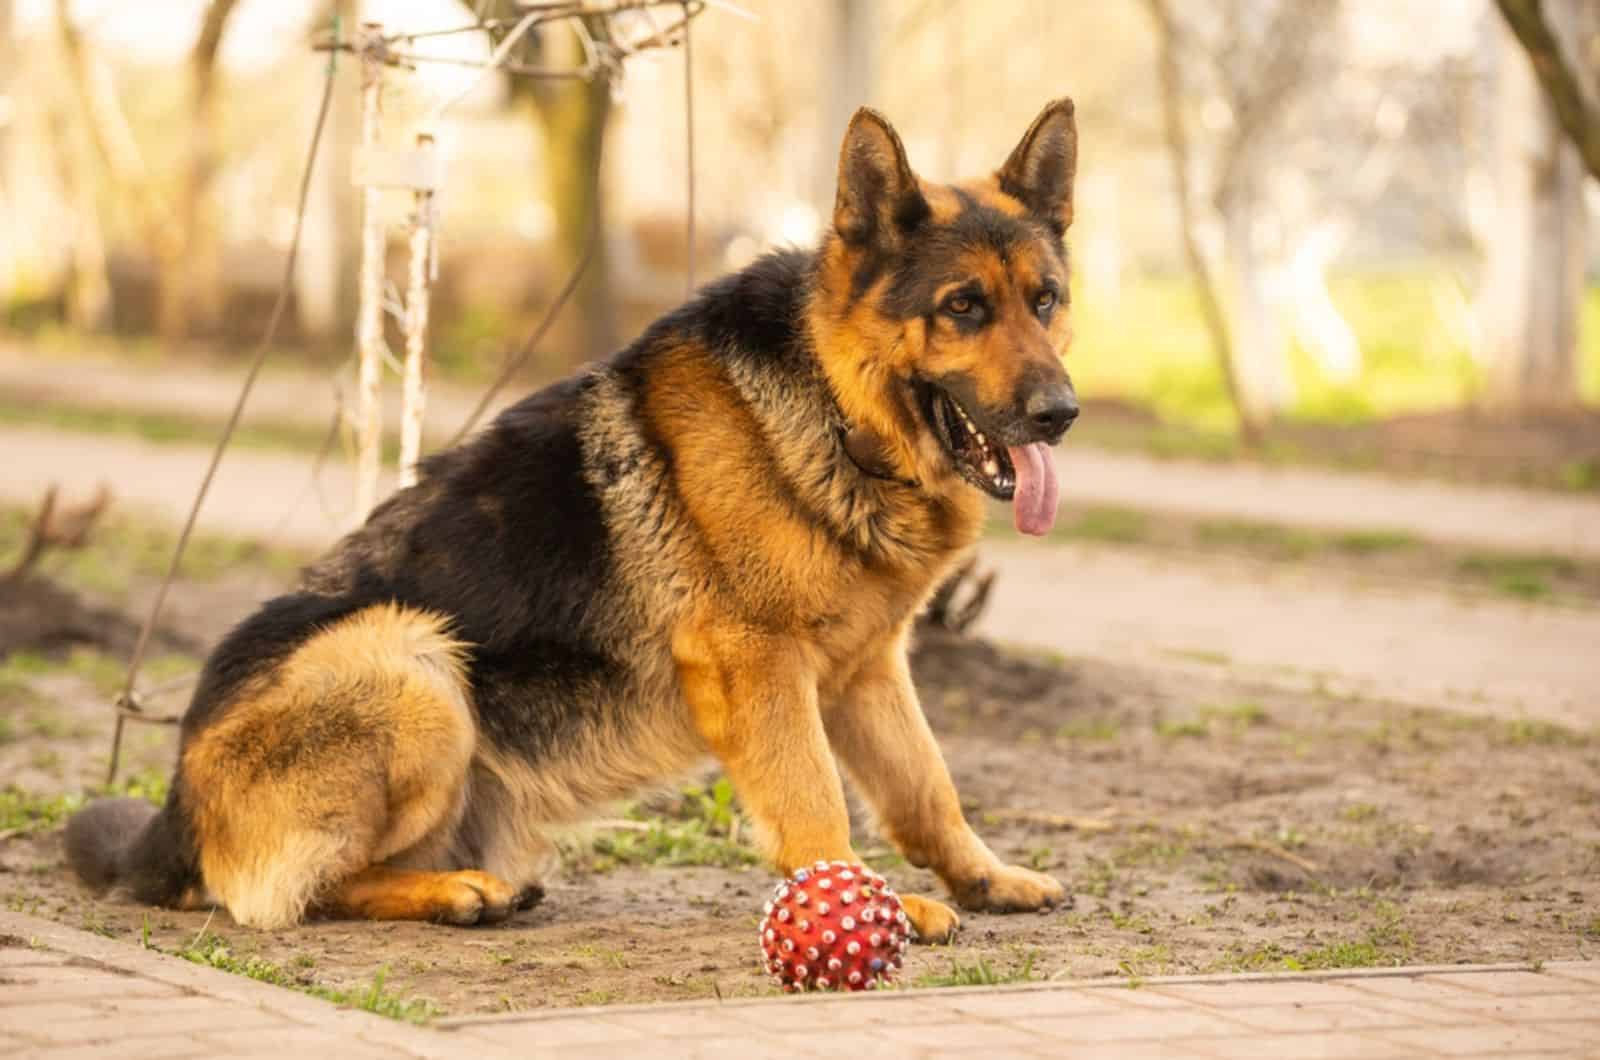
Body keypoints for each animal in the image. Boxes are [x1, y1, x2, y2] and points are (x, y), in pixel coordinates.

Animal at [68, 101, 1081, 947]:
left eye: (1044, 301)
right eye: (962, 307)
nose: (1063, 413)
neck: (838, 410)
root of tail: (177, 805)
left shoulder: (868, 671)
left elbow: (927, 788)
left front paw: (984, 878)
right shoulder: (758, 666)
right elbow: (813, 797)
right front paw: (856, 898)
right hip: (410, 659)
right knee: (300, 894)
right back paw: (456, 894)